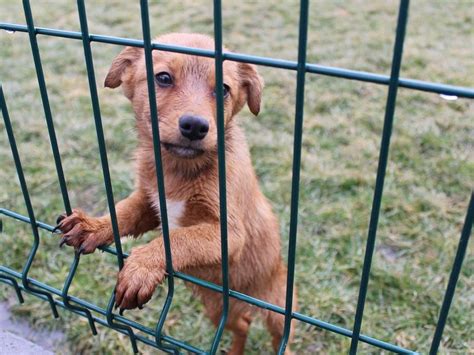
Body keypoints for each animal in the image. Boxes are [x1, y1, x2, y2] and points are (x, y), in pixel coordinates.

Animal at [57, 32, 296, 354]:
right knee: (243, 325)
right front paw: (93, 226)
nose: (195, 126)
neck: (178, 170)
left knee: (280, 335)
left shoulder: (229, 233)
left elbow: (179, 239)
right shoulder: (150, 201)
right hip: (218, 309)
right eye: (163, 78)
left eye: (223, 89)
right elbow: (123, 212)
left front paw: (140, 268)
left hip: (276, 309)